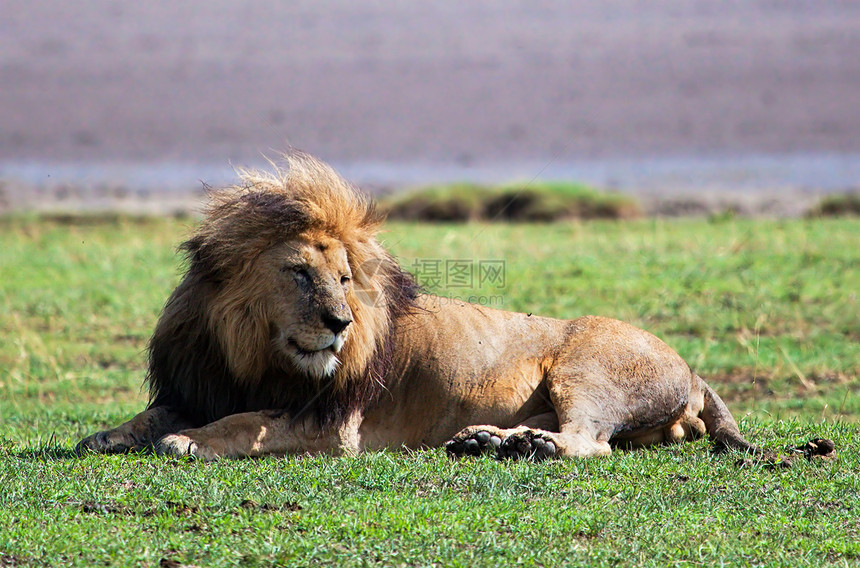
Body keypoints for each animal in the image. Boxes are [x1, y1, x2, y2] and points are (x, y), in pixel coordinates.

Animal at [79, 152, 760, 462]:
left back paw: (522, 445)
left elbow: (241, 423)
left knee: (590, 443)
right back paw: (490, 440)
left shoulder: (334, 424)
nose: (340, 324)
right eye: (300, 274)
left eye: (345, 279)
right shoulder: (199, 382)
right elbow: (152, 415)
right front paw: (104, 435)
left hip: (586, 368)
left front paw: (187, 442)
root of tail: (693, 370)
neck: (249, 351)